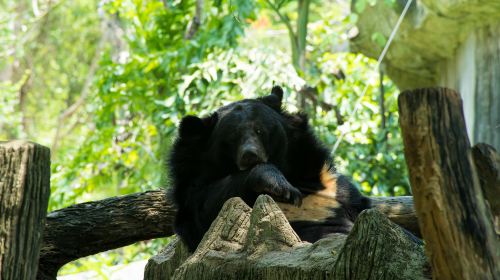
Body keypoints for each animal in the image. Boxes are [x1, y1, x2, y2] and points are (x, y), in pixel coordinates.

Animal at [170, 85, 370, 252]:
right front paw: (281, 187)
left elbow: (359, 204)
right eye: (233, 137)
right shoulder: (192, 180)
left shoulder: (330, 184)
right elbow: (203, 209)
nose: (250, 155)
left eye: (260, 131)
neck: (290, 173)